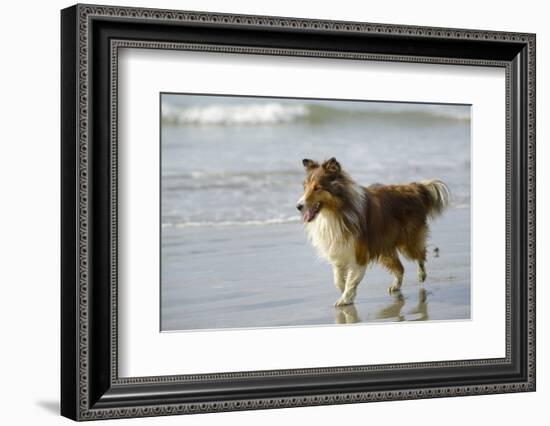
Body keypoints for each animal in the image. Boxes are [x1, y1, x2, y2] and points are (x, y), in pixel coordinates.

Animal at [300, 156, 450, 306]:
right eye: (305, 187)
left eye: (317, 188)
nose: (298, 206)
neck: (335, 212)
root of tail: (414, 188)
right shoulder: (338, 251)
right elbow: (338, 279)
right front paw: (344, 292)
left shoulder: (359, 254)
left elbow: (351, 280)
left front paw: (345, 298)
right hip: (384, 248)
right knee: (400, 268)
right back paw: (396, 286)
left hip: (407, 243)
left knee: (421, 256)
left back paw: (421, 275)